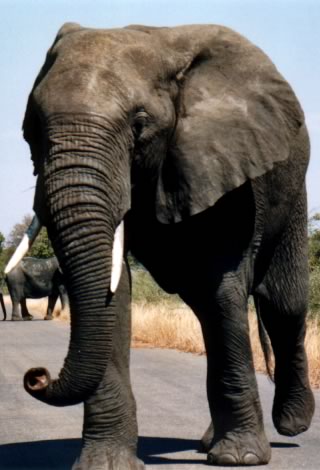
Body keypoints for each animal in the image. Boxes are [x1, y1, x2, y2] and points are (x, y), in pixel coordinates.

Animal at [5, 23, 316, 470]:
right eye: (31, 129)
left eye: (139, 124)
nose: (37, 376)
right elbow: (114, 292)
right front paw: (105, 464)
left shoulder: (223, 167)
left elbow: (224, 287)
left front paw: (240, 458)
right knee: (206, 308)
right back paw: (211, 440)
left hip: (291, 181)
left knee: (280, 303)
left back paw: (291, 425)